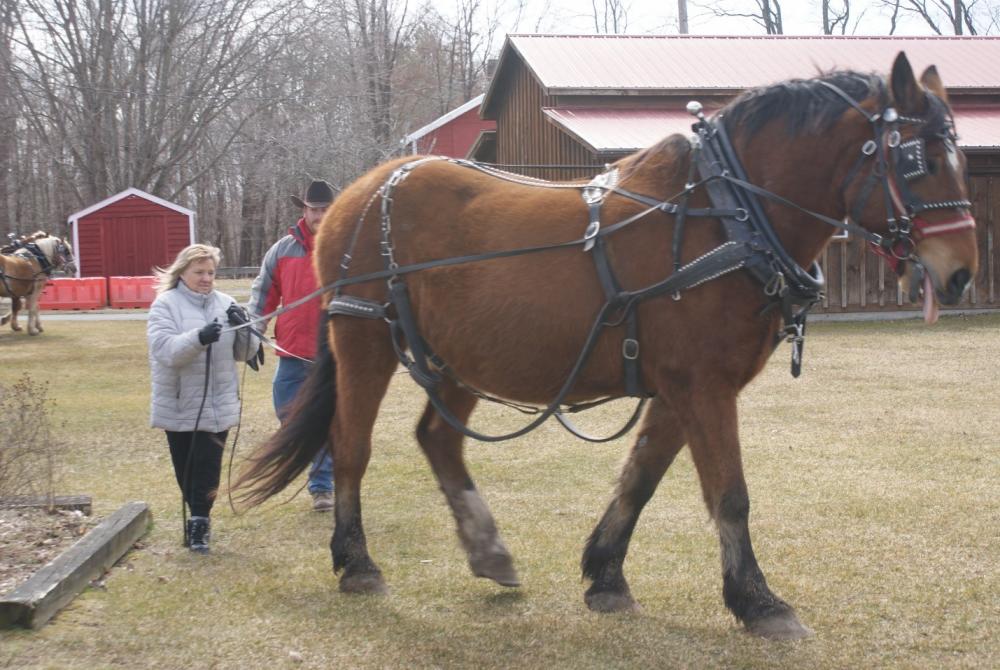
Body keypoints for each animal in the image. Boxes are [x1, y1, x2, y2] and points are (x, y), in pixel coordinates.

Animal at [235, 53, 978, 640]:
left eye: (959, 158)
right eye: (918, 161)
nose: (961, 273)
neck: (725, 218)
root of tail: (364, 188)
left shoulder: (682, 388)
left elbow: (640, 479)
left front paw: (606, 575)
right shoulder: (703, 386)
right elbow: (729, 493)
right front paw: (759, 602)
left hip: (459, 357)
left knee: (436, 438)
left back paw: (488, 550)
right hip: (363, 337)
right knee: (351, 446)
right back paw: (357, 562)